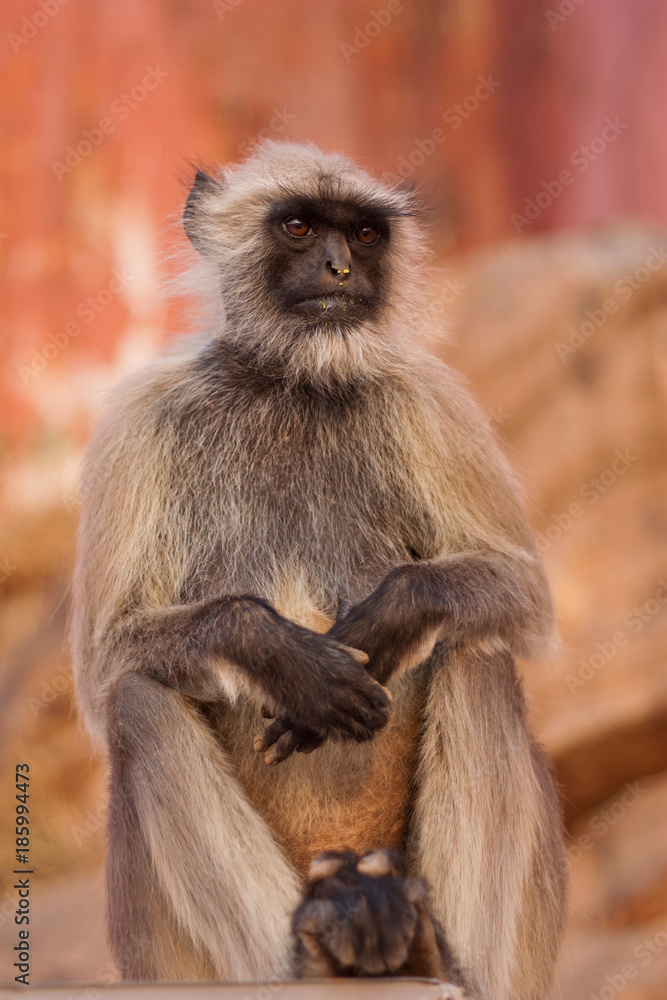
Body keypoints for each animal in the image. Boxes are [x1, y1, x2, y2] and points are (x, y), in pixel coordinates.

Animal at [72, 141, 567, 999]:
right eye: (299, 226)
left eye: (363, 235)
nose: (339, 268)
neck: (289, 381)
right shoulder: (138, 418)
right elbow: (106, 664)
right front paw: (281, 657)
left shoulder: (426, 397)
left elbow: (522, 595)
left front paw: (388, 620)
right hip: (159, 962)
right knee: (139, 698)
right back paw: (312, 952)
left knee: (475, 651)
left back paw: (439, 957)